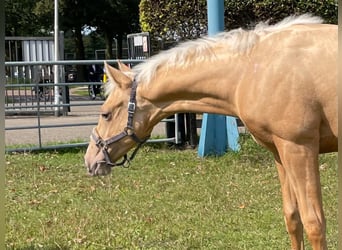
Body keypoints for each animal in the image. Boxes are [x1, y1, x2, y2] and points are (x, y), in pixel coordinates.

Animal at [85, 14, 336, 249]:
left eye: (106, 114)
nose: (90, 160)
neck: (254, 69)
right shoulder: (279, 152)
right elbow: (292, 218)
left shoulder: (299, 149)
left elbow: (314, 223)